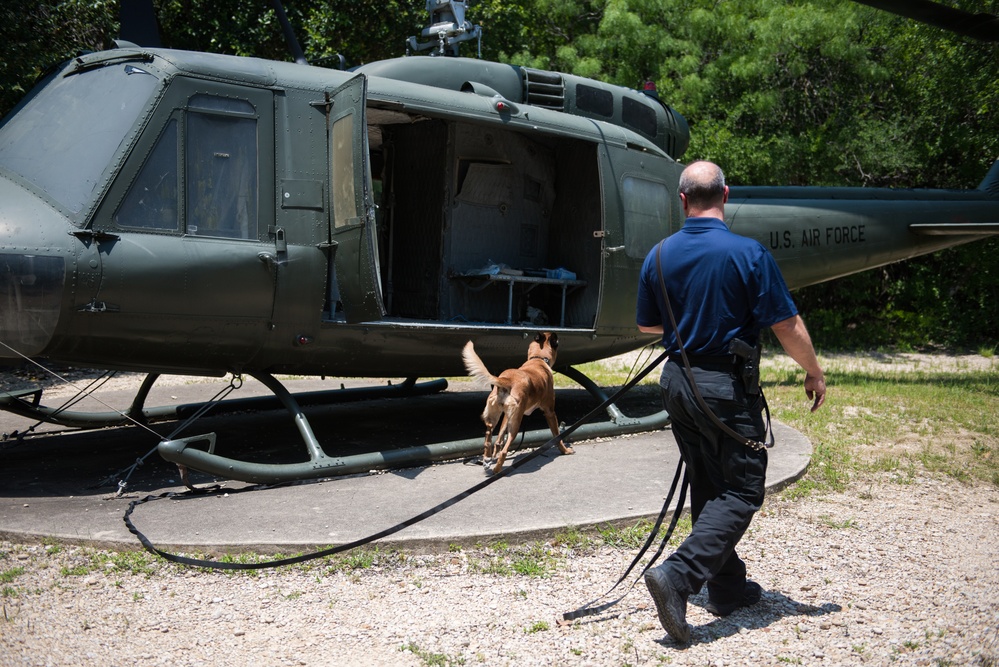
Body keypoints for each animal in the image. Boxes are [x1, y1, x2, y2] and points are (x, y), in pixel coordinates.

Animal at [458, 334, 572, 474]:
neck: (538, 359)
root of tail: (506, 380)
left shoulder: (507, 416)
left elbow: (499, 440)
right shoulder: (549, 412)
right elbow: (557, 436)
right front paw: (564, 450)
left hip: (496, 417)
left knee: (490, 439)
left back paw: (487, 458)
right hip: (515, 425)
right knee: (504, 451)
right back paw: (497, 470)